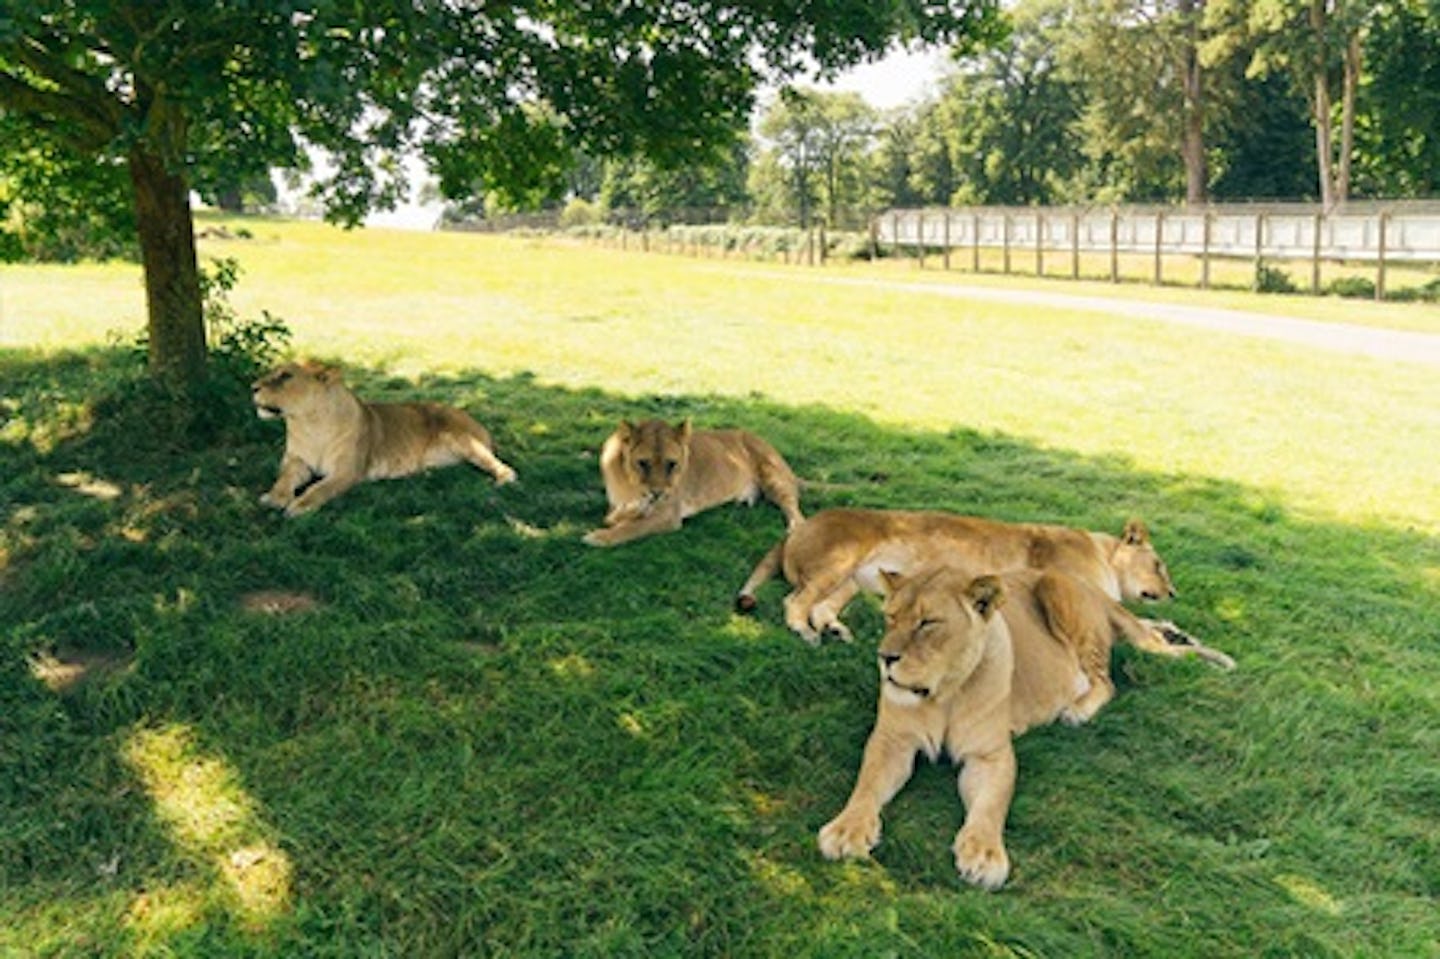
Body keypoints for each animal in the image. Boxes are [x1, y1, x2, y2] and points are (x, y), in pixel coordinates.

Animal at [253, 359, 518, 515]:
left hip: (464, 440)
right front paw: (274, 497)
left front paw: (299, 505)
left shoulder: (346, 471)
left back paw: (502, 480)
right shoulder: (295, 461)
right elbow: (284, 479)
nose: (252, 387)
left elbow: (319, 488)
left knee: (501, 465)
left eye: (285, 376)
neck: (310, 425)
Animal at [584, 417, 812, 544]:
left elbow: (631, 527)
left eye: (672, 464)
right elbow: (616, 517)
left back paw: (795, 527)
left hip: (774, 477)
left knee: (793, 507)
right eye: (643, 463)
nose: (658, 494)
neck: (632, 486)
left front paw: (598, 537)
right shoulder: (618, 505)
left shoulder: (668, 515)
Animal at [737, 506, 1175, 642]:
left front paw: (1171, 629)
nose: (1174, 594)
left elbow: (1141, 620)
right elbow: (1133, 620)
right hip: (837, 564)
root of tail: (798, 527)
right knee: (795, 601)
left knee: (821, 607)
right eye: (1159, 565)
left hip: (853, 581)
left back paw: (834, 630)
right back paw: (805, 632)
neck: (1104, 555)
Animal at [817, 561, 1232, 887]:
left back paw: (1077, 710)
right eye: (890, 617)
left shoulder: (991, 756)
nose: (884, 658)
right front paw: (846, 830)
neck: (945, 694)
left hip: (1057, 586)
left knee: (1105, 679)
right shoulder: (892, 740)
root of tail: (1099, 593)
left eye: (927, 623)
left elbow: (991, 806)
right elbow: (867, 785)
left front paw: (985, 855)